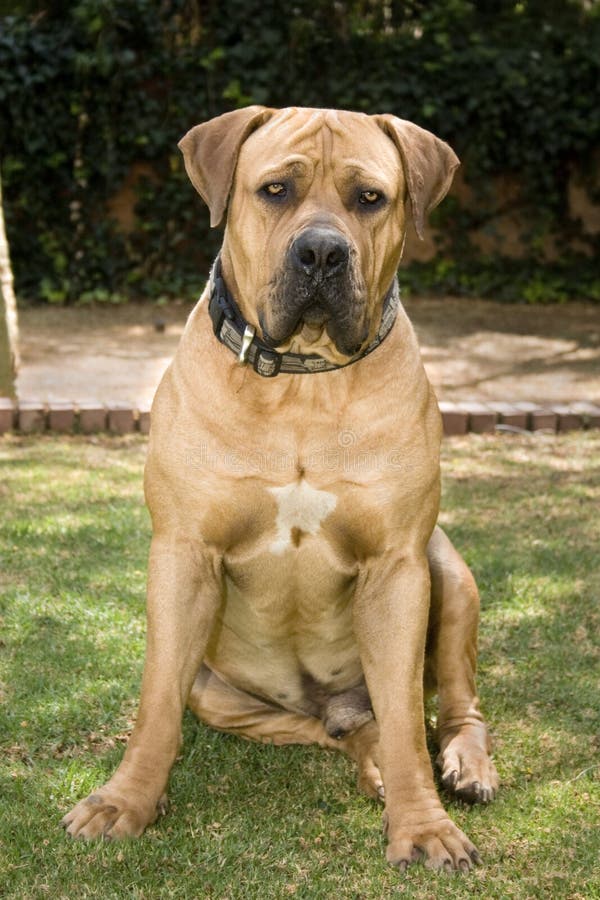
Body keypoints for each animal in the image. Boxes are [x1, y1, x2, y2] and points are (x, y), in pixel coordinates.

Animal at [63, 105, 500, 872]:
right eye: (274, 190)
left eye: (370, 198)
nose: (321, 253)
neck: (303, 380)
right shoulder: (182, 556)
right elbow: (154, 706)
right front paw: (126, 803)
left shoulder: (397, 567)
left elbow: (407, 724)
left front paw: (424, 827)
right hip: (219, 690)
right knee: (337, 730)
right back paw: (367, 757)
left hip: (447, 570)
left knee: (447, 704)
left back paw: (465, 763)